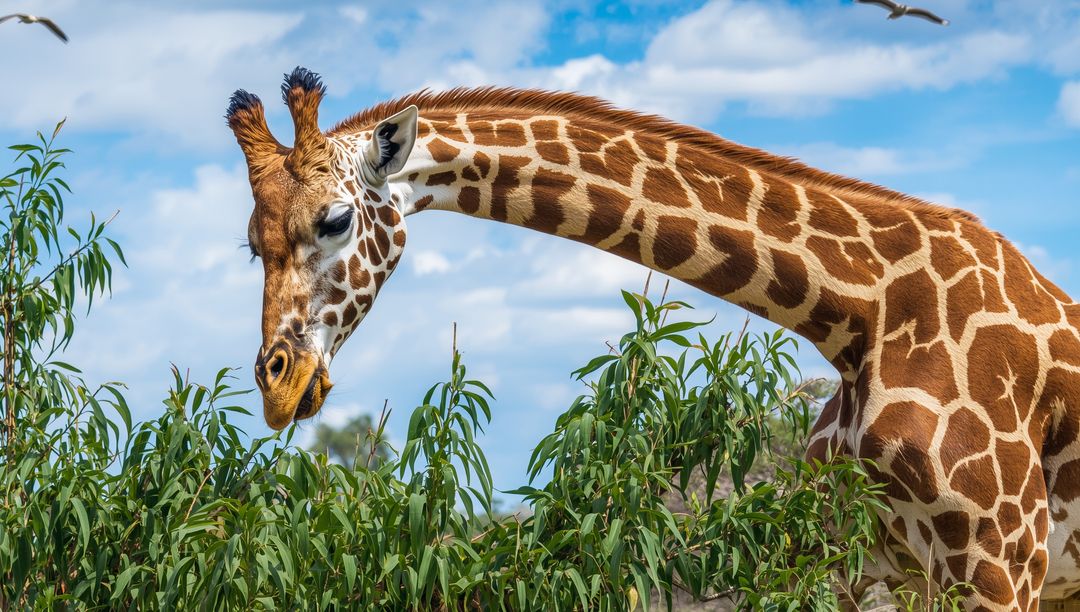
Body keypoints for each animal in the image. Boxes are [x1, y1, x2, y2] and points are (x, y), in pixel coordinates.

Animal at [227, 67, 1080, 610]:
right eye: (250, 245)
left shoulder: (1002, 561)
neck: (859, 314)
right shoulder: (857, 563)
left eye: (335, 220)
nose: (278, 385)